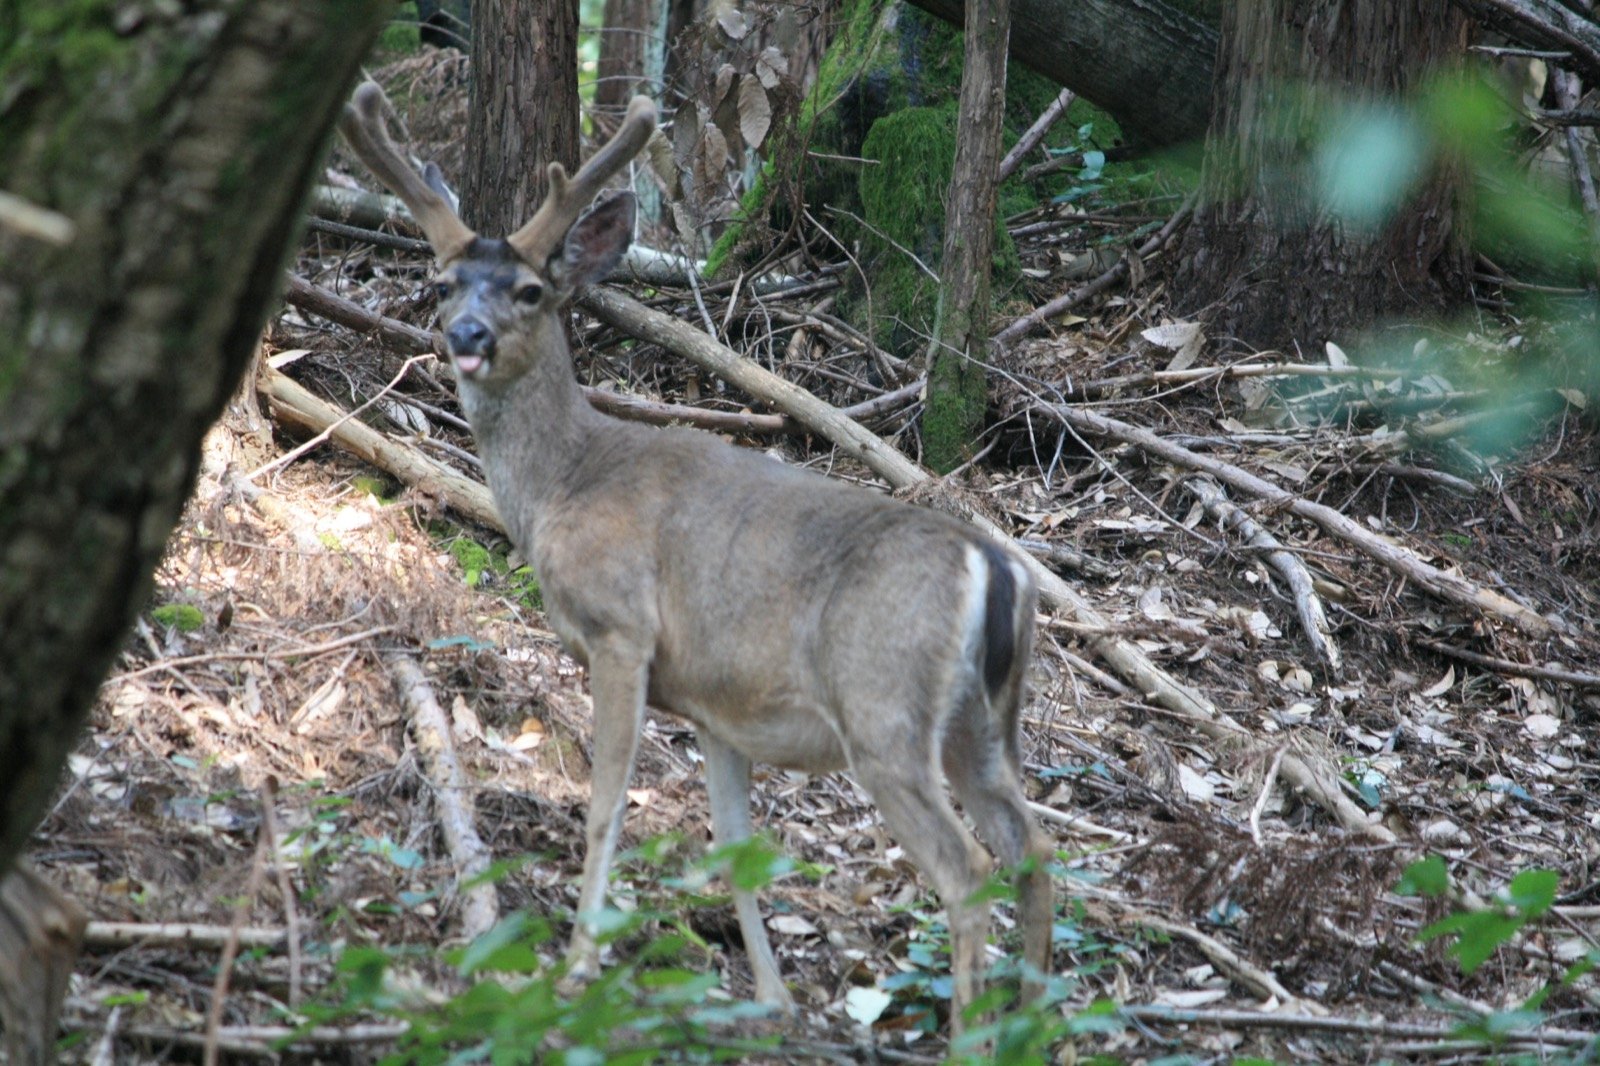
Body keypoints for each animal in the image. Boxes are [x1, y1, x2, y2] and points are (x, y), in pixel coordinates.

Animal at [337, 81, 1054, 1033]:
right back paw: (1045, 1025)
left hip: (883, 707)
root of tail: (997, 569)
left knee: (969, 870)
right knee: (1034, 848)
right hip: (980, 724)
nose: (468, 333)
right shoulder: (719, 707)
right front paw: (771, 997)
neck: (565, 483)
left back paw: (974, 1034)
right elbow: (733, 846)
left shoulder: (621, 630)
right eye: (442, 280)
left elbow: (605, 805)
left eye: (530, 289)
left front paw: (578, 965)